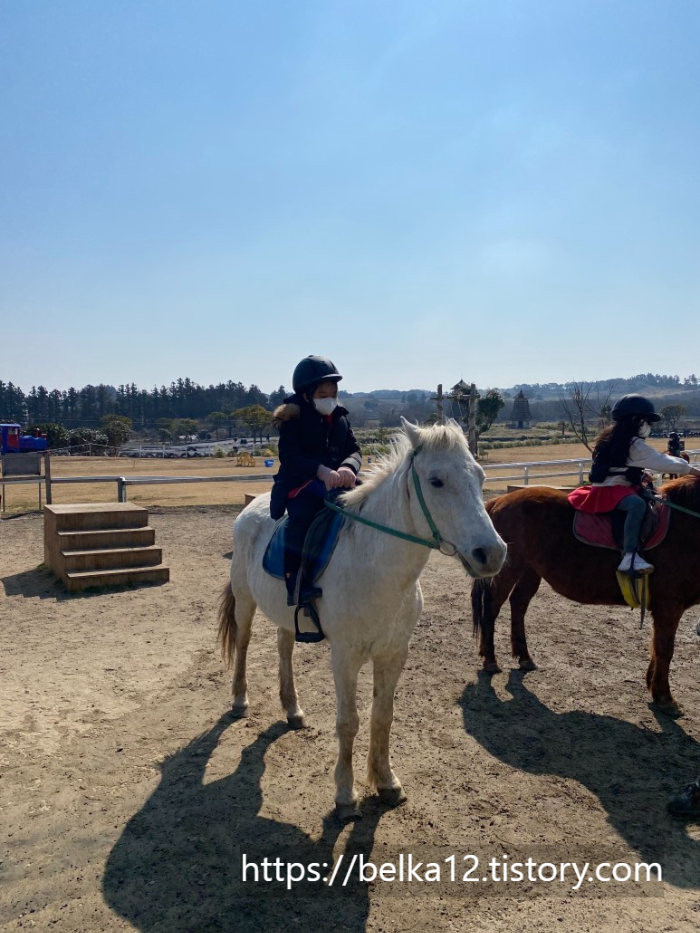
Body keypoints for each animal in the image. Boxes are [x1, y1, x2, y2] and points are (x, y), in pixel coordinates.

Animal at [218, 418, 507, 820]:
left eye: (479, 477)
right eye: (436, 481)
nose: (492, 553)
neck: (374, 565)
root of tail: (251, 509)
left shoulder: (393, 654)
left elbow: (382, 716)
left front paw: (386, 782)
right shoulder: (345, 657)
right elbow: (349, 722)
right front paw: (345, 794)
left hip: (284, 617)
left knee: (284, 649)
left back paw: (292, 708)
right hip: (245, 601)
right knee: (244, 645)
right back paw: (240, 700)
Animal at [471, 476, 700, 718]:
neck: (685, 524)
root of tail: (499, 501)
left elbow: (656, 648)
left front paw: (653, 687)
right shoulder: (669, 605)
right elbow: (665, 650)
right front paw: (665, 697)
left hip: (530, 570)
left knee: (518, 604)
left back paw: (524, 656)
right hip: (508, 569)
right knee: (492, 607)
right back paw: (490, 659)